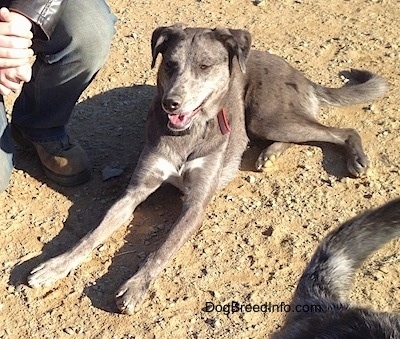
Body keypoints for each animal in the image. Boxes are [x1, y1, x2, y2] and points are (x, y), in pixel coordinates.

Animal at [27, 25, 388, 314]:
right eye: (170, 65)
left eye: (204, 66)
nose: (170, 103)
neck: (187, 135)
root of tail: (297, 72)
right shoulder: (135, 191)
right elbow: (92, 235)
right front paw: (55, 266)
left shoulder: (195, 205)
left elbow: (162, 248)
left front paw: (136, 286)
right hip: (268, 122)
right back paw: (269, 154)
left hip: (268, 115)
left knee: (339, 131)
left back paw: (353, 156)